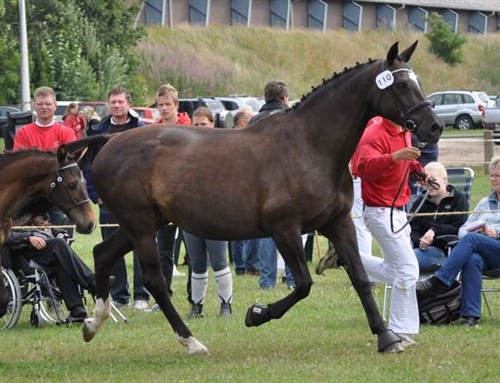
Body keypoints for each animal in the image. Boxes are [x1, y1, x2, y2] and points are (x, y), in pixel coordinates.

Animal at [67, 41, 442, 354]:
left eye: (418, 81)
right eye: (401, 85)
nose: (434, 127)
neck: (310, 145)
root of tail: (110, 141)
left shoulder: (338, 223)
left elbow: (360, 278)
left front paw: (387, 337)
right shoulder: (284, 229)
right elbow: (303, 284)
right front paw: (257, 313)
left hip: (143, 224)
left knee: (102, 254)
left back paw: (92, 324)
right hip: (143, 226)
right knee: (155, 281)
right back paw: (191, 342)